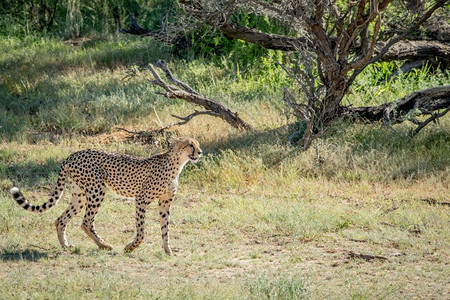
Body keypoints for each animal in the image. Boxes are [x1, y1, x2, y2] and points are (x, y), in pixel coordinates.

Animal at [9, 138, 202, 253]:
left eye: (197, 144)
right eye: (190, 145)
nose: (200, 152)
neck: (176, 164)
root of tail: (73, 154)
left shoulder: (165, 203)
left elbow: (165, 228)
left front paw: (168, 250)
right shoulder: (141, 200)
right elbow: (141, 231)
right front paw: (130, 247)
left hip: (80, 195)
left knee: (61, 219)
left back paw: (66, 246)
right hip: (97, 190)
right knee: (86, 222)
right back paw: (104, 244)